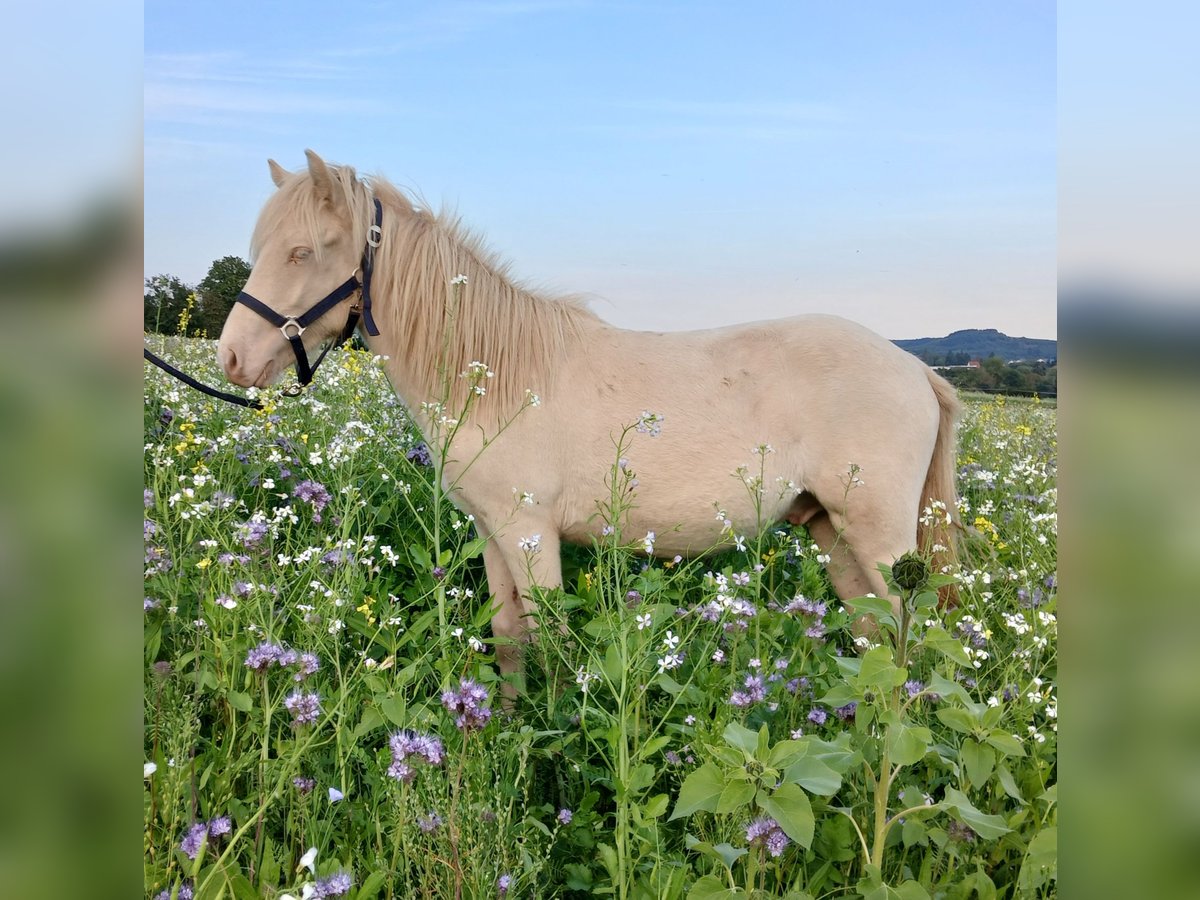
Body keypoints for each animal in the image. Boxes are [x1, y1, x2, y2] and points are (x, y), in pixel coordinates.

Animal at [217, 150, 960, 688]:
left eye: (305, 250)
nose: (232, 357)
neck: (498, 374)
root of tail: (915, 369)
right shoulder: (493, 532)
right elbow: (509, 639)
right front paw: (504, 734)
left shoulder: (529, 532)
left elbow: (549, 640)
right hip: (833, 531)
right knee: (876, 635)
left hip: (878, 537)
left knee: (911, 633)